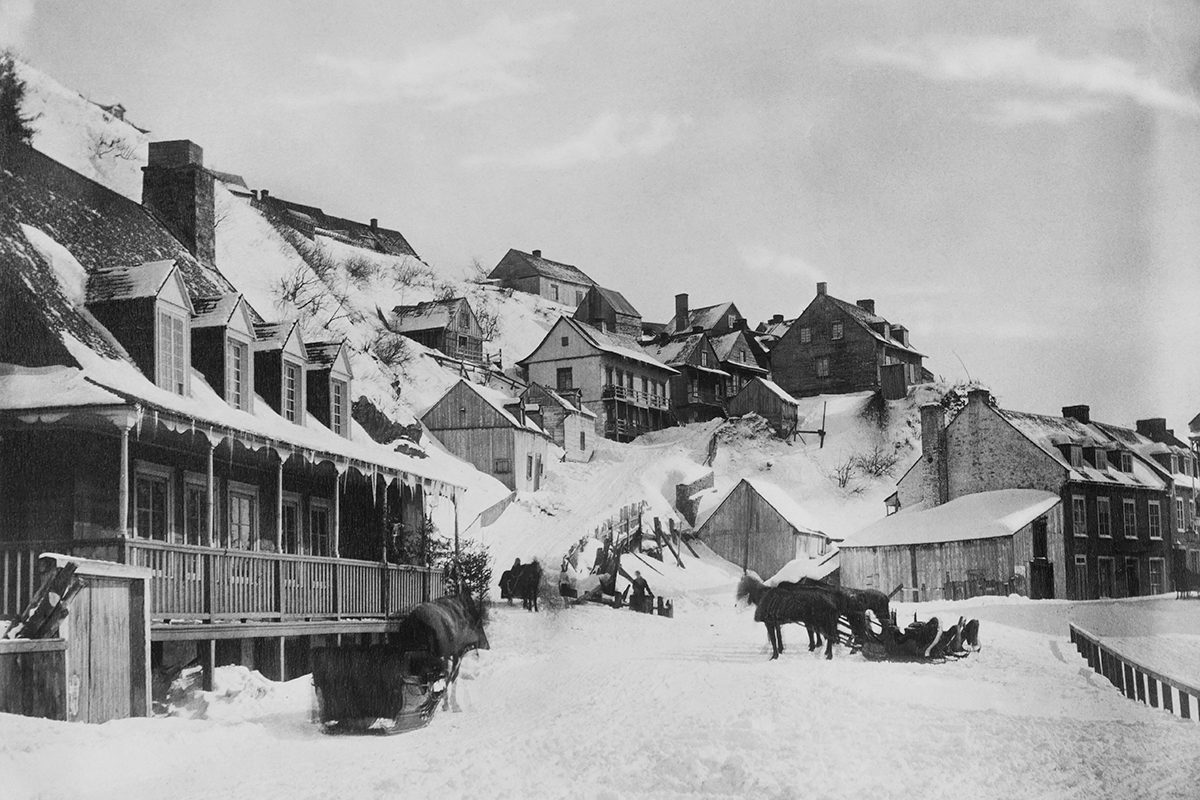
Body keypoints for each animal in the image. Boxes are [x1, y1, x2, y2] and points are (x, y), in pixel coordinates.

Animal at [729, 578, 864, 662]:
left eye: (742, 594)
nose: (735, 606)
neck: (764, 596)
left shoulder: (769, 623)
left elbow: (773, 639)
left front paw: (774, 656)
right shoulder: (777, 622)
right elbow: (779, 637)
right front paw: (780, 650)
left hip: (825, 621)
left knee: (831, 636)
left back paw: (830, 654)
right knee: (831, 636)